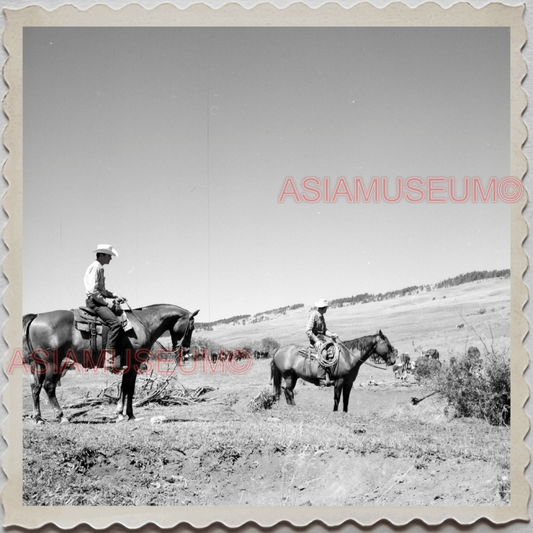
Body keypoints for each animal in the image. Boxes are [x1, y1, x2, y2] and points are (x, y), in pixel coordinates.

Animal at [21, 304, 198, 424]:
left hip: (38, 365)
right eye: (191, 327)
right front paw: (124, 414)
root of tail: (36, 316)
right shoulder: (133, 365)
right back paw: (61, 416)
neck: (143, 323)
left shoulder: (131, 367)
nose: (186, 352)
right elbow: (127, 389)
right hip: (53, 363)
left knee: (35, 387)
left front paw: (127, 414)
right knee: (49, 387)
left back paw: (38, 418)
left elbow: (127, 389)